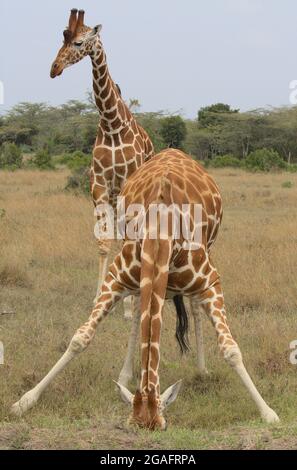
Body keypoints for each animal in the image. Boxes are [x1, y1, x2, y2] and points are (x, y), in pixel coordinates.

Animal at [10, 151, 278, 430]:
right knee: (139, 311)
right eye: (130, 426)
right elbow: (80, 338)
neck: (160, 232)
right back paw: (125, 374)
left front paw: (267, 411)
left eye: (162, 426)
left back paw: (201, 369)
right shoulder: (116, 278)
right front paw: (25, 400)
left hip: (208, 253)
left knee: (193, 308)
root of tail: (174, 151)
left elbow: (231, 350)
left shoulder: (210, 282)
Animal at [49, 8, 208, 386]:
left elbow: (121, 241)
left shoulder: (124, 188)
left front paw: (123, 305)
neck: (111, 123)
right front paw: (98, 295)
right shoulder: (98, 186)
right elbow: (104, 243)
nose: (54, 68)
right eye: (62, 37)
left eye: (80, 42)